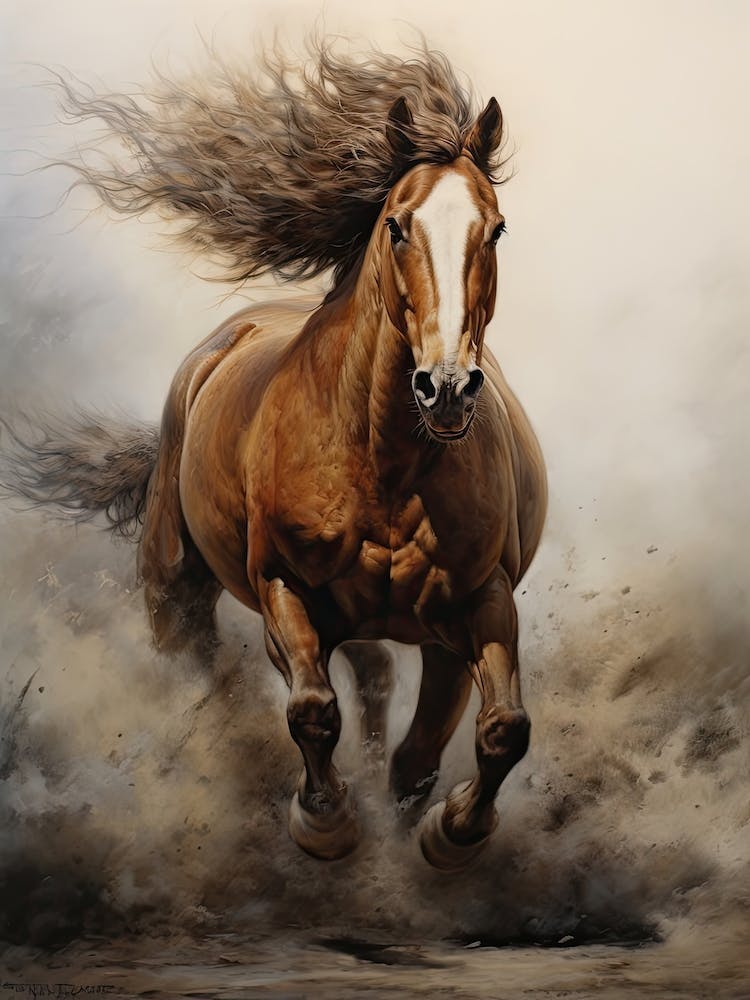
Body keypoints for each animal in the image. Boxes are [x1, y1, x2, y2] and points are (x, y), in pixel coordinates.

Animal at [2, 41, 547, 870]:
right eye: (397, 226)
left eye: (497, 228)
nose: (447, 387)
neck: (386, 466)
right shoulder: (284, 590)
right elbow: (314, 710)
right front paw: (324, 824)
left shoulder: (477, 603)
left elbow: (486, 735)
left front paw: (448, 831)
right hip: (175, 584)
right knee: (207, 675)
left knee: (377, 680)